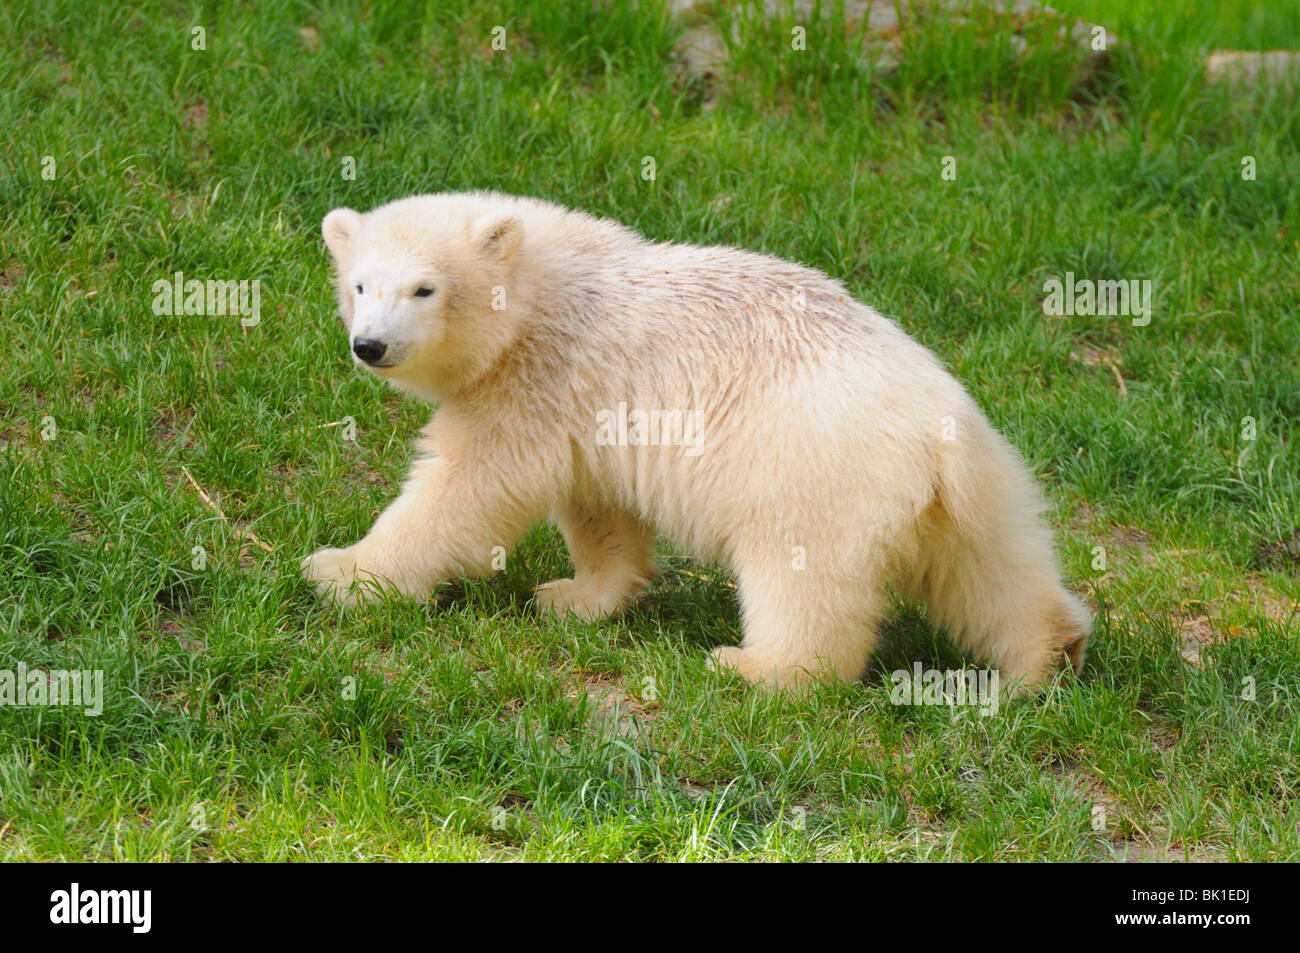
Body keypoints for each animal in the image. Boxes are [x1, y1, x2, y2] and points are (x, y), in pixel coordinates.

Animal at [301, 189, 1086, 686]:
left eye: (424, 288)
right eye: (360, 284)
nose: (369, 345)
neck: (544, 288)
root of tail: (936, 431)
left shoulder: (536, 380)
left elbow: (461, 491)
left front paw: (341, 571)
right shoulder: (589, 410)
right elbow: (600, 507)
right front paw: (575, 595)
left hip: (812, 470)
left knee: (802, 581)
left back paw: (755, 669)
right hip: (974, 490)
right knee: (991, 571)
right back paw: (1049, 654)